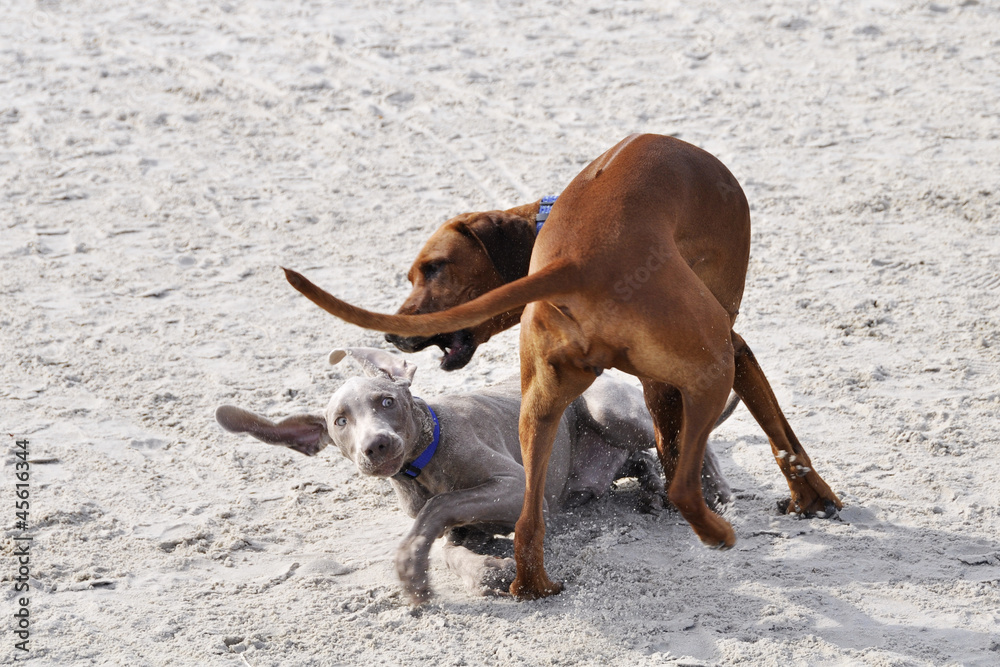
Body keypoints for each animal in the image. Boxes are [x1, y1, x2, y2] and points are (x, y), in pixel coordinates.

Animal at [217, 348, 736, 604]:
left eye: (387, 401)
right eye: (340, 422)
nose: (376, 445)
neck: (422, 467)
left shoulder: (516, 488)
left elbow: (438, 506)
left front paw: (411, 567)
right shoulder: (462, 527)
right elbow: (448, 545)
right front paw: (487, 570)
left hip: (609, 411)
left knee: (682, 435)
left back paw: (710, 490)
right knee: (642, 460)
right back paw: (653, 490)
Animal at [284, 134, 844, 600]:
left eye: (434, 268)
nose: (392, 336)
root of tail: (576, 261)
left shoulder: (655, 382)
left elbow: (677, 441)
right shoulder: (735, 348)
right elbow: (780, 434)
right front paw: (812, 499)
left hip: (539, 412)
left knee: (531, 522)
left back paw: (534, 584)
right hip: (714, 364)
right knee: (683, 483)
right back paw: (714, 530)